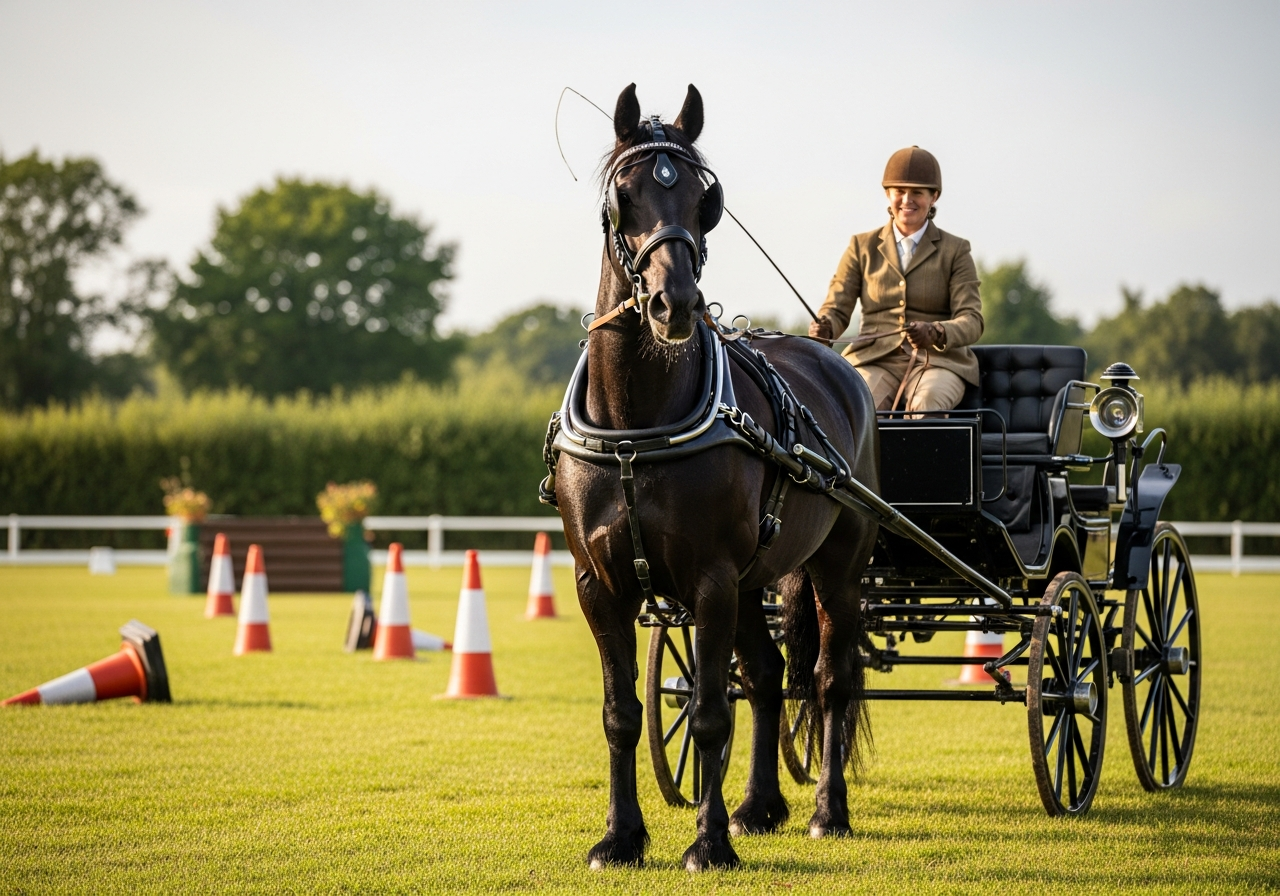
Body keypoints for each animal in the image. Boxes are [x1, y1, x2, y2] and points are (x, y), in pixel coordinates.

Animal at [551, 83, 880, 871]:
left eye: (707, 200)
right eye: (622, 198)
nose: (674, 305)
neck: (637, 424)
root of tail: (836, 363)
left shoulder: (709, 579)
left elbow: (705, 712)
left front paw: (708, 844)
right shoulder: (598, 584)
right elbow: (622, 714)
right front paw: (621, 837)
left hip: (835, 565)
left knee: (829, 681)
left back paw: (827, 810)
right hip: (757, 576)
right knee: (765, 676)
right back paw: (760, 805)